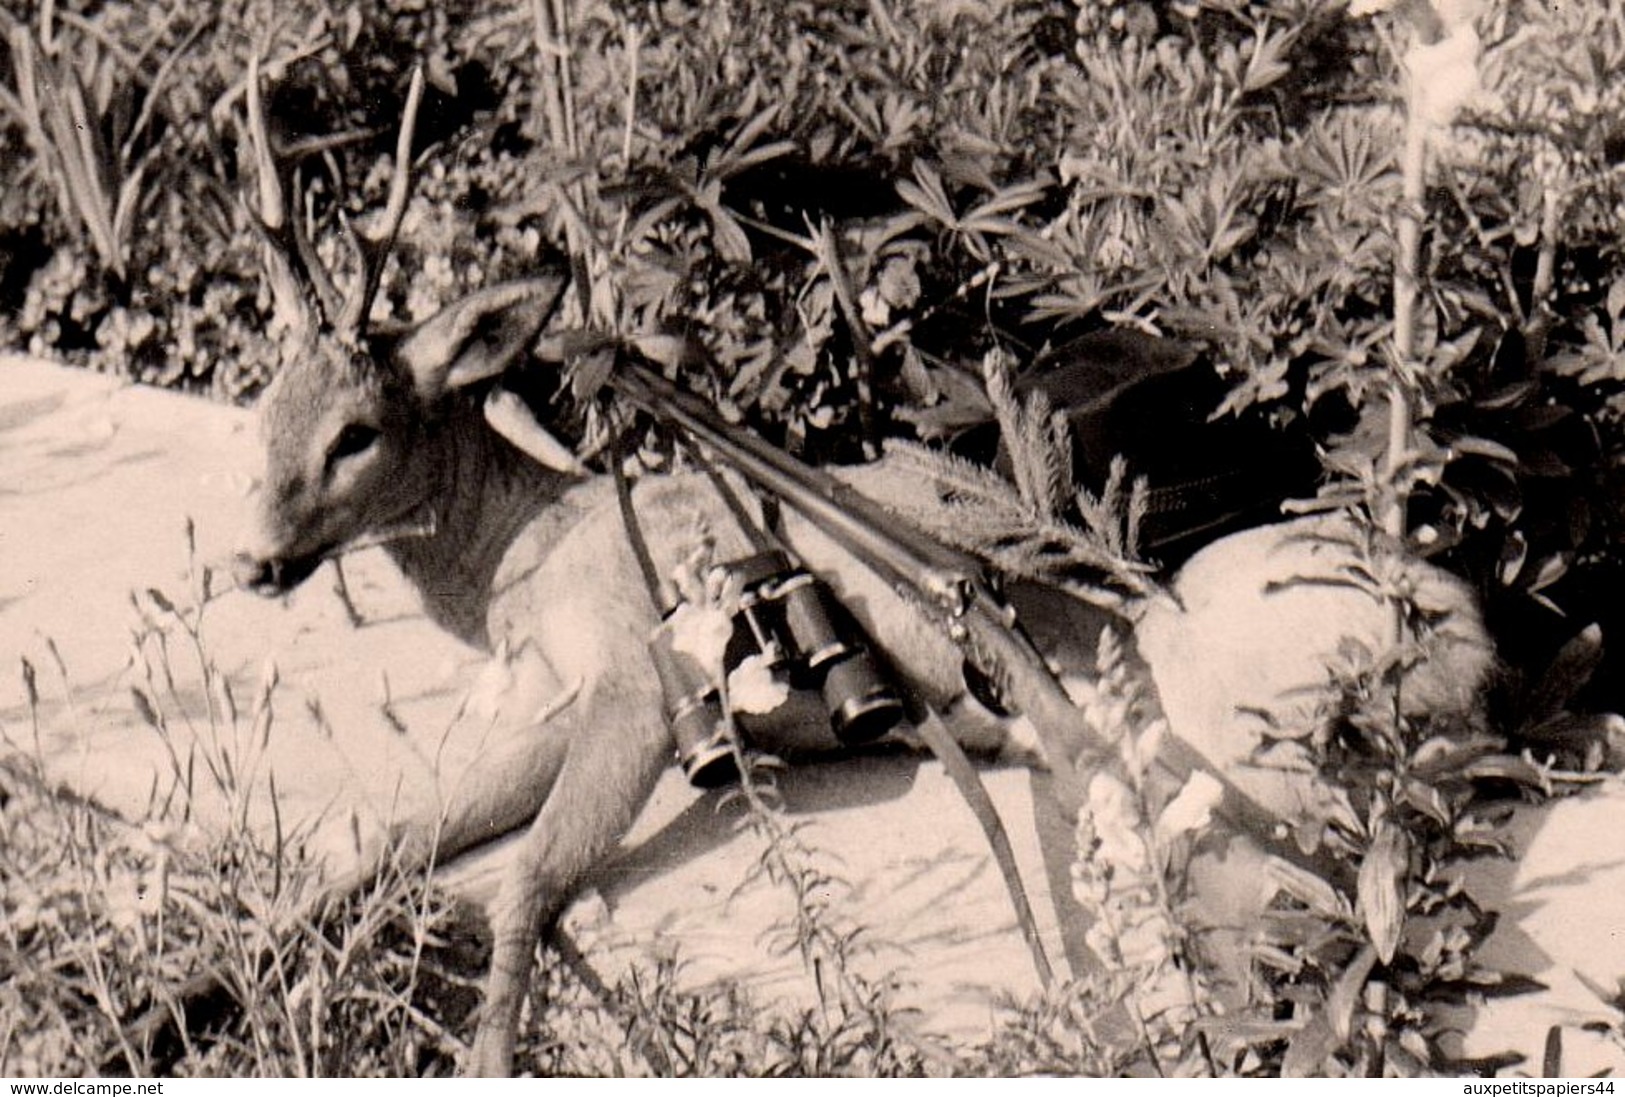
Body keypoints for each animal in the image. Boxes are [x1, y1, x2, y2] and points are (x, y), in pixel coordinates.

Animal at [229, 64, 1495, 1079]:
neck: (518, 561)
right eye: (262, 409)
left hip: (1232, 783)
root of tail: (1459, 636)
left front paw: (484, 1053)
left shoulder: (640, 679)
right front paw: (226, 974)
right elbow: (390, 838)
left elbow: (523, 881)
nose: (252, 560)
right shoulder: (559, 701)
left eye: (355, 433)